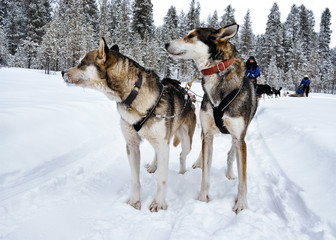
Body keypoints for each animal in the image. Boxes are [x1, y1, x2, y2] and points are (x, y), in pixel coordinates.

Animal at [61, 38, 196, 212]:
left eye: (82, 63)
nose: (62, 72)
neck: (134, 95)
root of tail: (188, 96)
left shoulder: (162, 143)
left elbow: (162, 180)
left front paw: (158, 203)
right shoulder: (132, 145)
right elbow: (135, 180)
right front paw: (135, 202)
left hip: (185, 142)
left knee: (181, 155)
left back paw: (182, 172)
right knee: (157, 154)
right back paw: (154, 166)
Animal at [165, 23, 258, 213]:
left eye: (191, 36)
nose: (165, 44)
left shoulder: (239, 137)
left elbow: (243, 178)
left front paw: (241, 204)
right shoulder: (207, 134)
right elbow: (205, 174)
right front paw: (202, 198)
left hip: (238, 137)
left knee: (231, 154)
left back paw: (230, 172)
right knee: (204, 154)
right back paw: (199, 162)